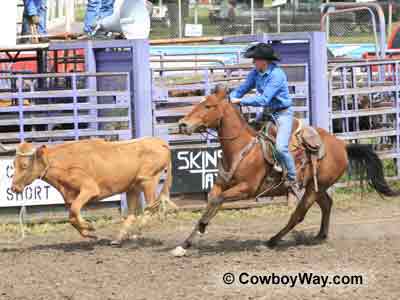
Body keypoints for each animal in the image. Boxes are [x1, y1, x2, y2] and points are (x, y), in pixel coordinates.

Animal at [170, 86, 398, 255]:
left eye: (208, 106)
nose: (182, 124)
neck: (240, 149)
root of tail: (342, 145)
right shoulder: (221, 183)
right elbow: (210, 203)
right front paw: (185, 243)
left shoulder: (246, 189)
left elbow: (217, 201)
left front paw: (197, 234)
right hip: (317, 186)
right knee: (327, 204)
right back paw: (320, 235)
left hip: (312, 189)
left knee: (298, 215)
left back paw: (272, 241)